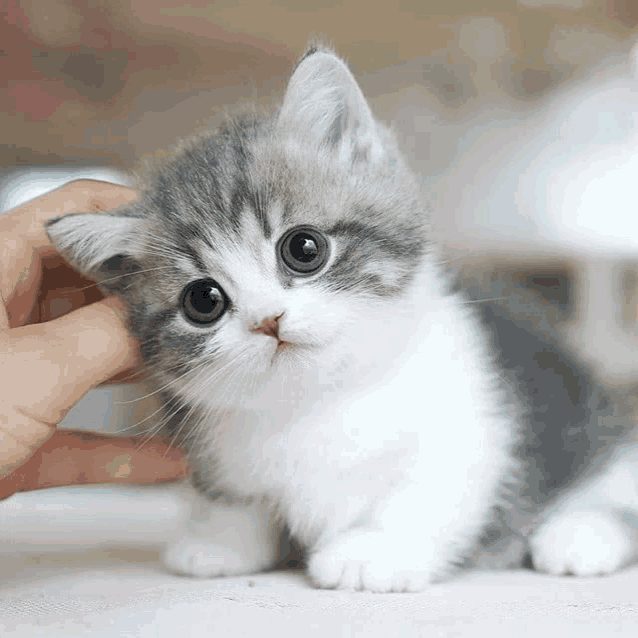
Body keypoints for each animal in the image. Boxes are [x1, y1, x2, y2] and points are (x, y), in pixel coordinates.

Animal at [47, 47, 536, 592]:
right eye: (203, 301)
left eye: (304, 248)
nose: (269, 320)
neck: (318, 399)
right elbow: (236, 498)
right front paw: (218, 541)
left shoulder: (474, 418)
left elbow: (432, 488)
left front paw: (373, 551)